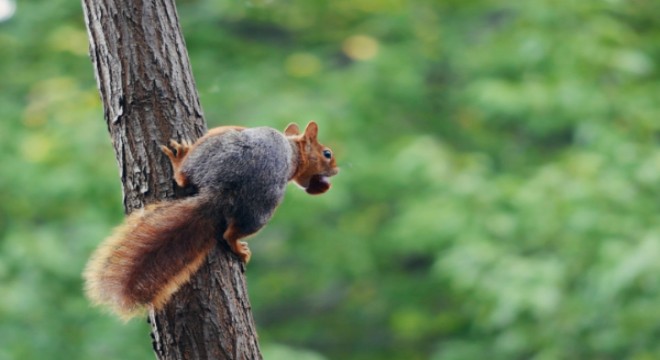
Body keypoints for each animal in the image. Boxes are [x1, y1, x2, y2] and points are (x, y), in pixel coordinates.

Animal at [84, 121, 340, 320]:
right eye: (327, 153)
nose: (336, 170)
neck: (293, 150)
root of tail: (222, 190)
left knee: (187, 183)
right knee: (226, 229)